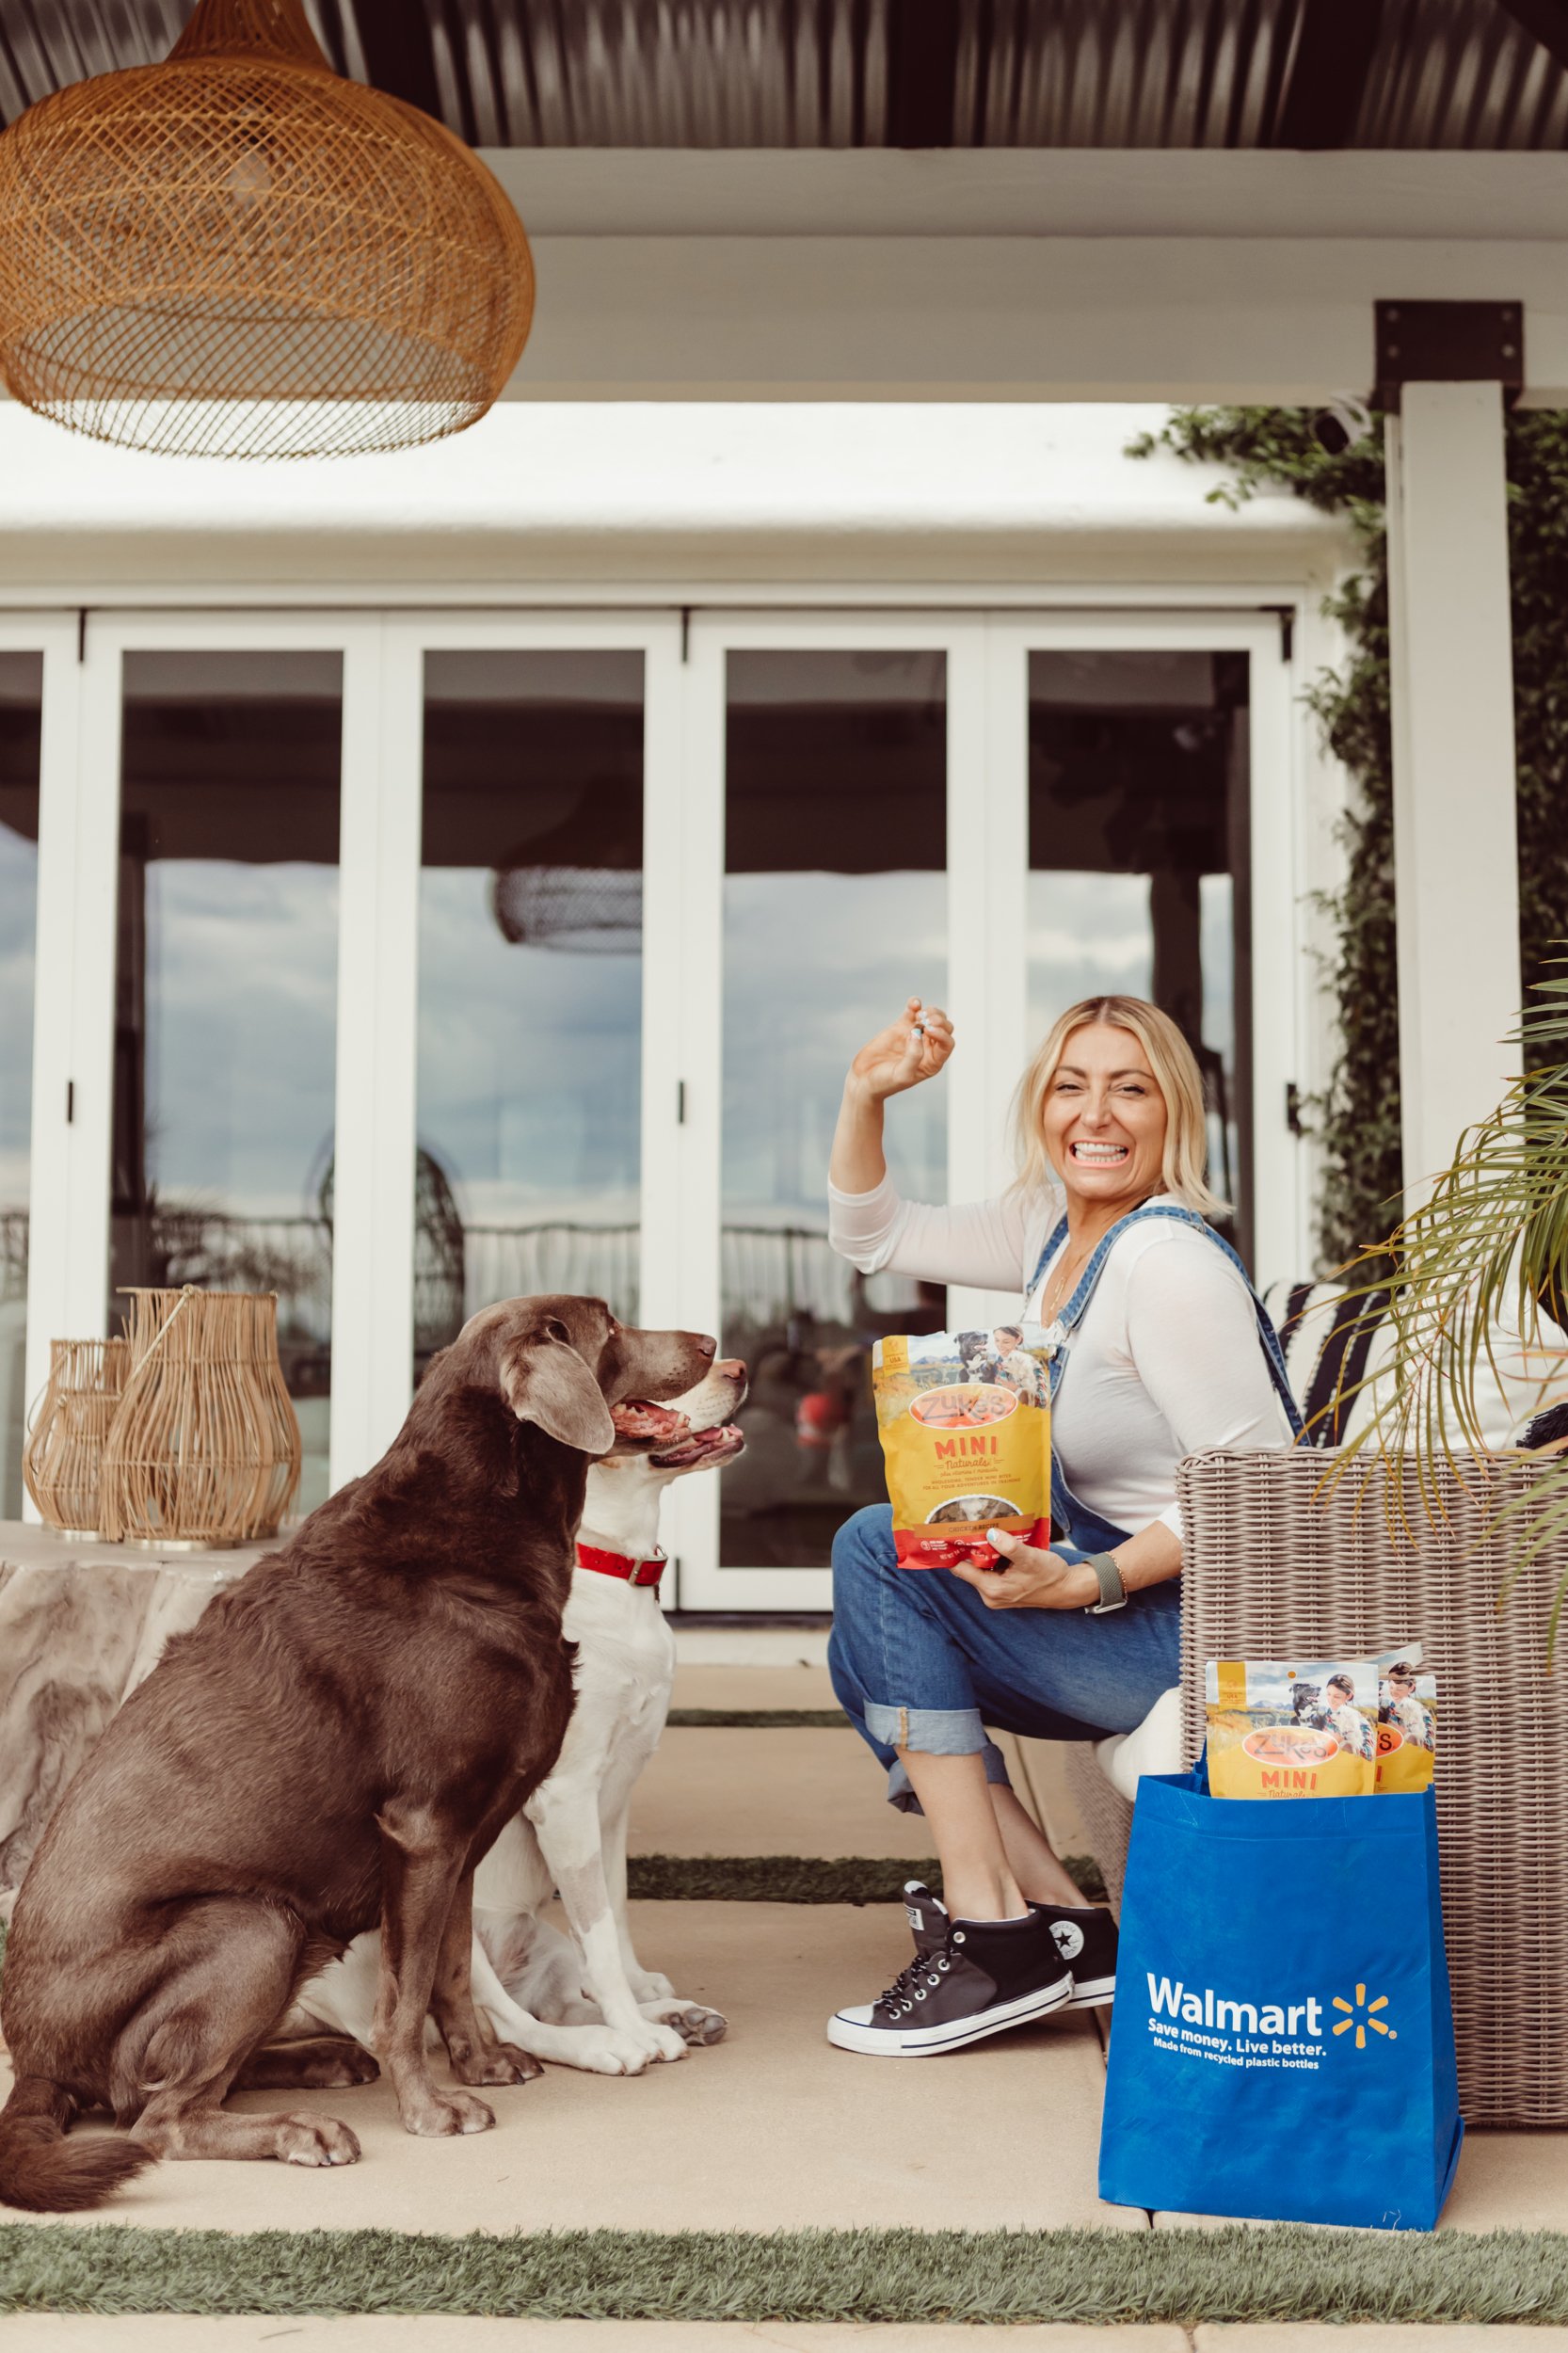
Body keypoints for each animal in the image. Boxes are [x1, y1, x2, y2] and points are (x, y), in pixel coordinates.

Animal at [287, 1365, 744, 2080]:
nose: (739, 1370)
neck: (611, 1567)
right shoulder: (566, 1796)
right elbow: (598, 1936)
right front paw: (631, 2026)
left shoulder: (616, 1799)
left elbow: (614, 1915)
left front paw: (644, 1999)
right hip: (434, 1912)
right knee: (497, 2021)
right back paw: (610, 2044)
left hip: (532, 1937)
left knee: (552, 1998)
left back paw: (671, 2019)